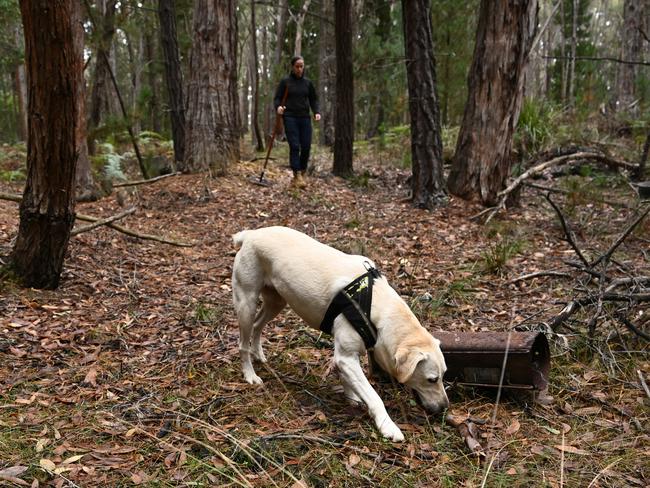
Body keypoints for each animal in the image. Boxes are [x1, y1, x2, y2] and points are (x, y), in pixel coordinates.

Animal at [230, 227, 448, 440]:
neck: (375, 306)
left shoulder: (348, 356)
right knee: (242, 343)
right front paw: (388, 426)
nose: (445, 408)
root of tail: (251, 234)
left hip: (276, 302)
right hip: (247, 302)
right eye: (432, 379)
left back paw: (259, 354)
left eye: (444, 375)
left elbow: (351, 381)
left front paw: (352, 397)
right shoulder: (346, 357)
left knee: (258, 326)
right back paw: (250, 374)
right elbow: (373, 396)